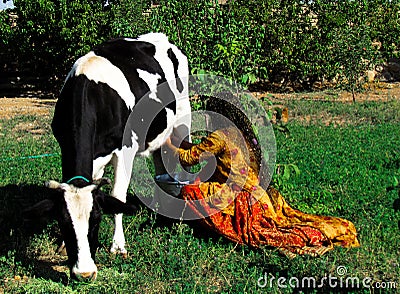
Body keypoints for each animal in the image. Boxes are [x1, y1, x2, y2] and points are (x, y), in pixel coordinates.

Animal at [26, 33, 191, 282]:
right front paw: (63, 245)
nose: (84, 273)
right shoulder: (82, 153)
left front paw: (118, 246)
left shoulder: (125, 150)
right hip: (159, 132)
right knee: (161, 168)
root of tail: (160, 37)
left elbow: (117, 196)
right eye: (64, 224)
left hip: (182, 119)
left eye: (96, 221)